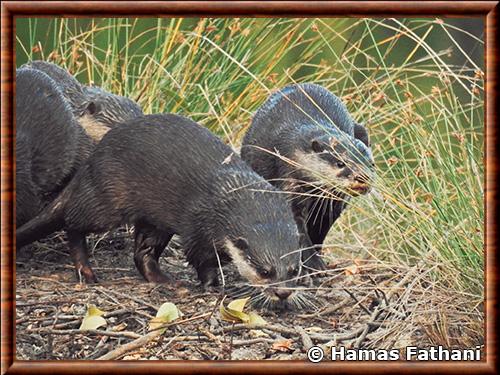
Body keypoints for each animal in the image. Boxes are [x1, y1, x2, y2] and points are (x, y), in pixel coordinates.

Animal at [16, 114, 304, 308]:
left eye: (293, 270)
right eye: (265, 271)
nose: (282, 292)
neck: (236, 192)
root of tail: (92, 160)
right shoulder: (198, 224)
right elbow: (200, 257)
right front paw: (212, 286)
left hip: (154, 220)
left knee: (142, 252)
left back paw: (164, 280)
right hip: (107, 201)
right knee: (72, 222)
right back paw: (86, 271)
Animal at [240, 83, 374, 272]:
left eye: (371, 164)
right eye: (340, 163)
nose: (362, 177)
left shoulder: (332, 206)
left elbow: (319, 229)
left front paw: (317, 258)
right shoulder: (290, 184)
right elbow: (298, 228)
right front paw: (313, 264)